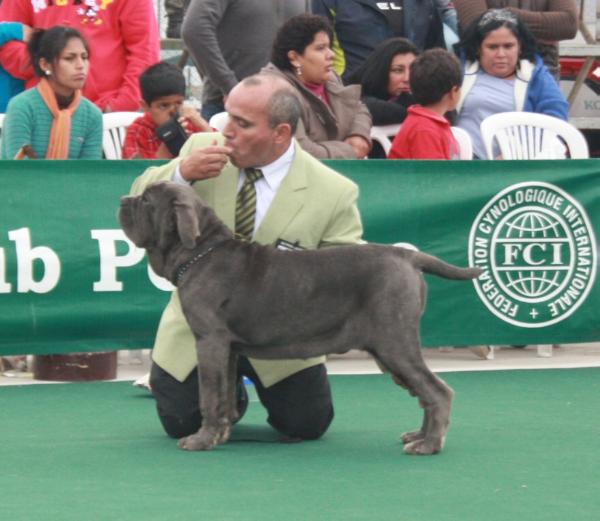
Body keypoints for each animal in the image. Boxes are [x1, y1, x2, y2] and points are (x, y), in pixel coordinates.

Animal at [118, 182, 482, 456]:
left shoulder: (209, 341)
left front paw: (200, 440)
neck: (200, 253)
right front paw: (219, 435)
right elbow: (224, 396)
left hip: (395, 343)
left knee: (437, 391)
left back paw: (429, 445)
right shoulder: (228, 349)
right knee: (424, 393)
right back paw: (418, 436)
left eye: (147, 200)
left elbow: (208, 395)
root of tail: (407, 255)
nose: (124, 199)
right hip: (389, 349)